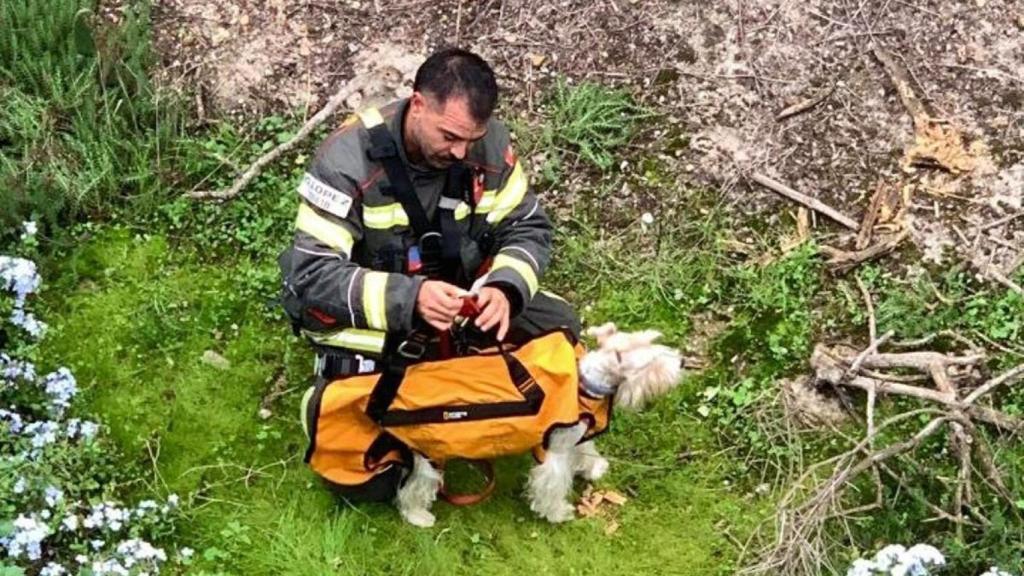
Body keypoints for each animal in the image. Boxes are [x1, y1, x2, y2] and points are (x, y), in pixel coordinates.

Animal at [397, 323, 679, 524]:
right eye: (652, 361)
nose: (681, 362)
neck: (584, 386)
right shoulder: (556, 452)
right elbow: (552, 484)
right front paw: (557, 512)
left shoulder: (576, 435)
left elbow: (586, 451)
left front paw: (594, 468)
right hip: (429, 456)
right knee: (413, 488)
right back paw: (418, 516)